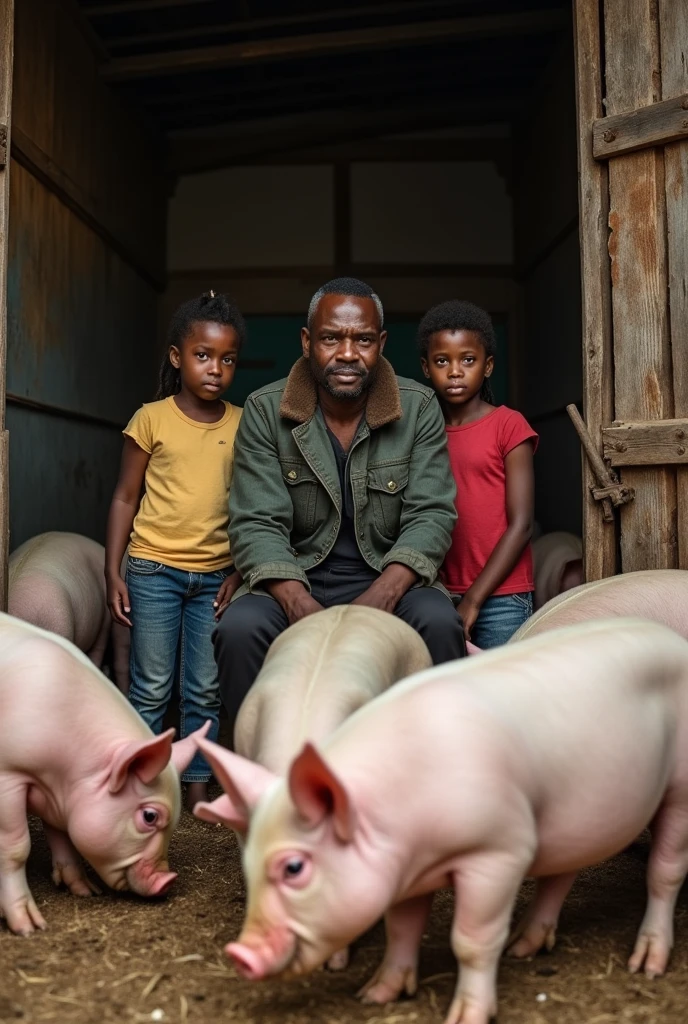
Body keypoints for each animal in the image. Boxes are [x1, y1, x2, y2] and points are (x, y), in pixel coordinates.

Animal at [0, 610, 206, 933]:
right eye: (150, 816)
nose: (167, 881)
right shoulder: (9, 775)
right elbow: (15, 848)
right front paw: (30, 927)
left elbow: (61, 834)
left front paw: (86, 891)